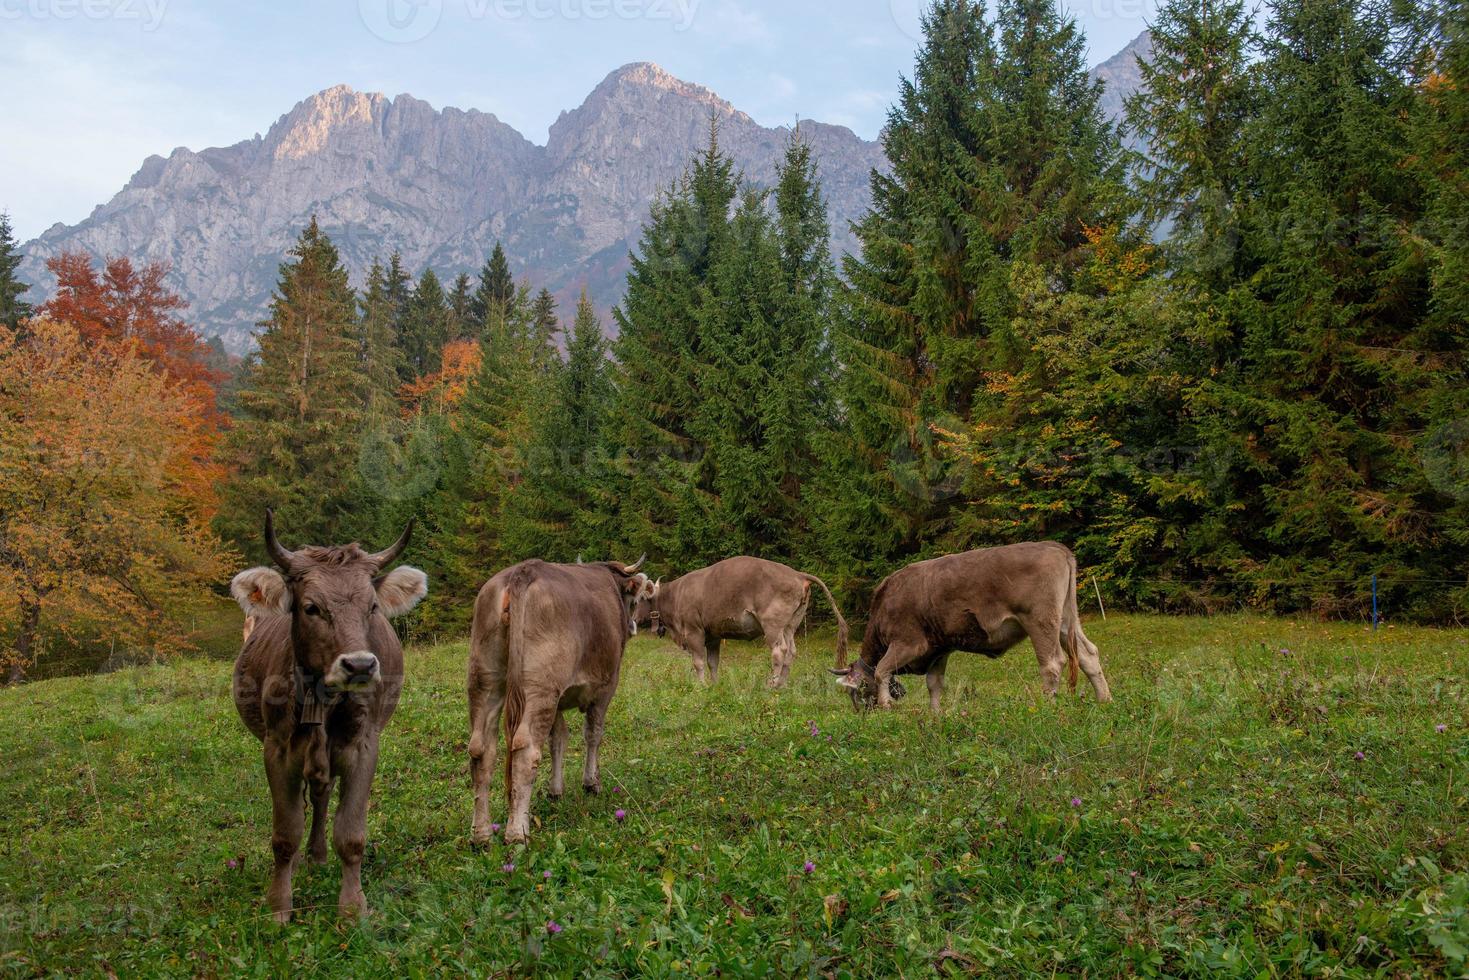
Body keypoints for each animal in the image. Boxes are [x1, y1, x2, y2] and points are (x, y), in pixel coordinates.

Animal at [227, 511, 426, 922]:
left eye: (372, 607)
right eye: (311, 607)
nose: (360, 665)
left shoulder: (363, 745)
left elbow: (350, 835)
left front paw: (352, 909)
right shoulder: (277, 749)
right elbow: (285, 834)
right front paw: (279, 906)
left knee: (322, 793)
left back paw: (318, 854)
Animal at [467, 555, 652, 846]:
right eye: (635, 599)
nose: (634, 625)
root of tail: (523, 571)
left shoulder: (559, 700)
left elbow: (558, 740)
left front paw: (556, 789)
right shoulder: (606, 688)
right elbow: (593, 734)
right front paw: (591, 783)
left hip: (486, 679)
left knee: (480, 750)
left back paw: (481, 835)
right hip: (539, 688)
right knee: (526, 752)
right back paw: (517, 833)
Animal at [631, 558, 852, 690]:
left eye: (640, 597)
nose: (632, 620)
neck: (675, 595)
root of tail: (797, 574)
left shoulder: (694, 632)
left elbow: (699, 662)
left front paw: (701, 686)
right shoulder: (713, 636)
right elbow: (713, 662)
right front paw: (715, 685)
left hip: (772, 625)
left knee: (779, 650)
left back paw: (771, 684)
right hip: (790, 625)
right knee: (791, 651)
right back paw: (782, 683)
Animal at [834, 543, 1104, 714]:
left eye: (856, 692)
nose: (864, 713)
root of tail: (1054, 547)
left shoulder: (908, 643)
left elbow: (881, 670)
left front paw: (888, 706)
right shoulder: (938, 649)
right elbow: (934, 684)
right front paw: (935, 714)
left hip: (1040, 620)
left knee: (1052, 664)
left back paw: (1047, 707)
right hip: (1066, 621)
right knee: (1088, 655)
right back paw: (1105, 700)